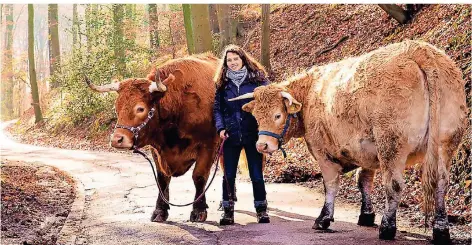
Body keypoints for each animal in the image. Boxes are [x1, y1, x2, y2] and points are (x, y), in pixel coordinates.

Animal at [85, 53, 220, 222]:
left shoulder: (208, 146)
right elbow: (162, 179)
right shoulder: (157, 150)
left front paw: (199, 210)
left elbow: (199, 177)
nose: (117, 140)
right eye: (117, 108)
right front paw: (160, 211)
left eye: (140, 108)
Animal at [230, 40, 468, 243]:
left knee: (394, 184)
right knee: (441, 181)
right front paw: (366, 215)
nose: (261, 145)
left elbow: (330, 184)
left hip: (391, 144)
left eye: (278, 115)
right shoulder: (366, 150)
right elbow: (363, 180)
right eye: (257, 117)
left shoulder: (323, 151)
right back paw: (441, 229)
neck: (310, 92)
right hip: (446, 143)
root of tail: (420, 50)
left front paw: (324, 219)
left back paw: (387, 227)